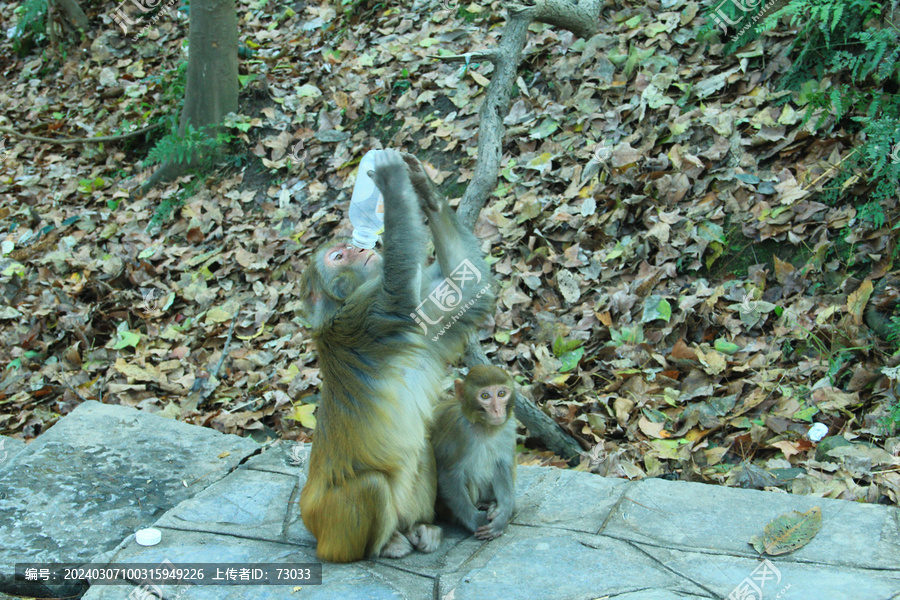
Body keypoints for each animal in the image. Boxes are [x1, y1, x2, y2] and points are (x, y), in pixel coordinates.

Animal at [298, 150, 492, 564]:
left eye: (347, 249)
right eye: (338, 256)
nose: (361, 248)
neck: (339, 307)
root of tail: (308, 514)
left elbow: (467, 289)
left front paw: (422, 185)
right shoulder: (363, 317)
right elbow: (399, 291)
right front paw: (388, 179)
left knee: (423, 451)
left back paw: (420, 527)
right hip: (332, 526)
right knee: (370, 486)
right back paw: (386, 545)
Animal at [430, 364, 516, 540]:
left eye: (501, 393)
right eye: (485, 396)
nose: (497, 410)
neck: (484, 427)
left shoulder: (508, 427)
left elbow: (502, 466)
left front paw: (502, 515)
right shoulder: (457, 431)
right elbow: (448, 475)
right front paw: (476, 520)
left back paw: (490, 504)